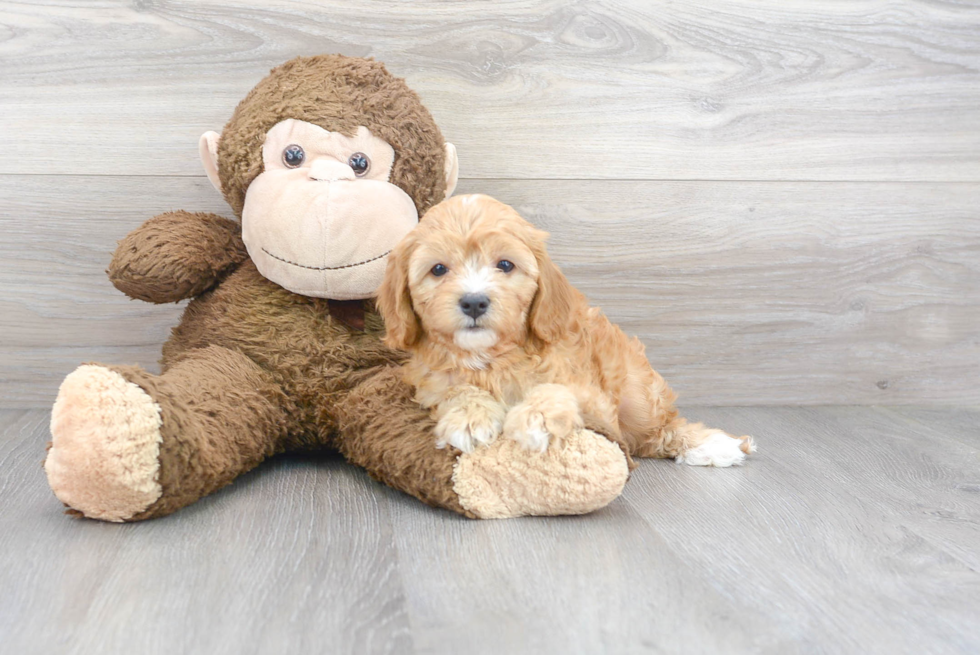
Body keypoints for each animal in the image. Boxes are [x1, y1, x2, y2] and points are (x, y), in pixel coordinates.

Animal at [374, 195, 752, 466]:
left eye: (505, 265)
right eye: (438, 269)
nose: (474, 302)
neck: (492, 358)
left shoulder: (595, 400)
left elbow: (558, 389)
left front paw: (536, 418)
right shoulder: (432, 383)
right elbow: (457, 390)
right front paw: (469, 416)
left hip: (636, 392)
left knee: (656, 432)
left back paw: (713, 445)